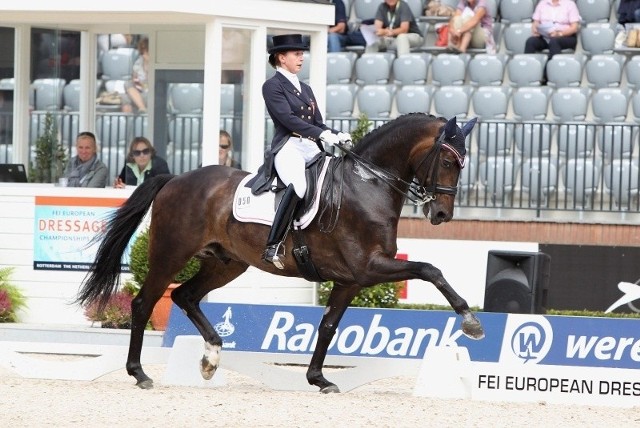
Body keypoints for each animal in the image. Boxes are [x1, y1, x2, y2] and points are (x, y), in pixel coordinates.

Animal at [77, 113, 482, 392]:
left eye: (464, 163)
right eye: (448, 161)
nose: (442, 215)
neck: (368, 186)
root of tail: (175, 178)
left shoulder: (350, 280)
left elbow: (328, 326)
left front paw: (319, 378)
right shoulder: (368, 268)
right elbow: (430, 269)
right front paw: (470, 321)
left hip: (227, 263)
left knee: (185, 296)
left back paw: (211, 357)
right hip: (171, 253)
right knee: (145, 302)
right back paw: (140, 373)